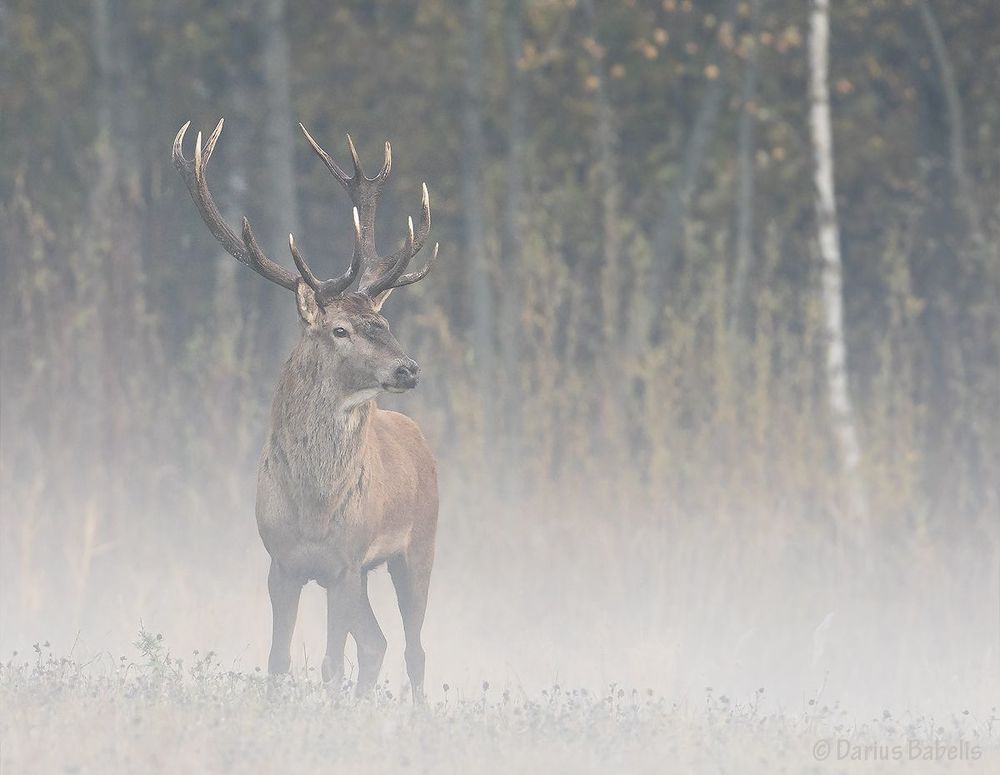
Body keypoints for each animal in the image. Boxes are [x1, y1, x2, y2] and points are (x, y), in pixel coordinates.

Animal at [172, 119, 439, 701]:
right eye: (339, 329)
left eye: (383, 323)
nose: (409, 369)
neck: (314, 507)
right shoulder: (281, 563)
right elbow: (279, 660)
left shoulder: (345, 563)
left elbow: (332, 663)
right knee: (378, 642)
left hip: (419, 544)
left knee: (414, 650)